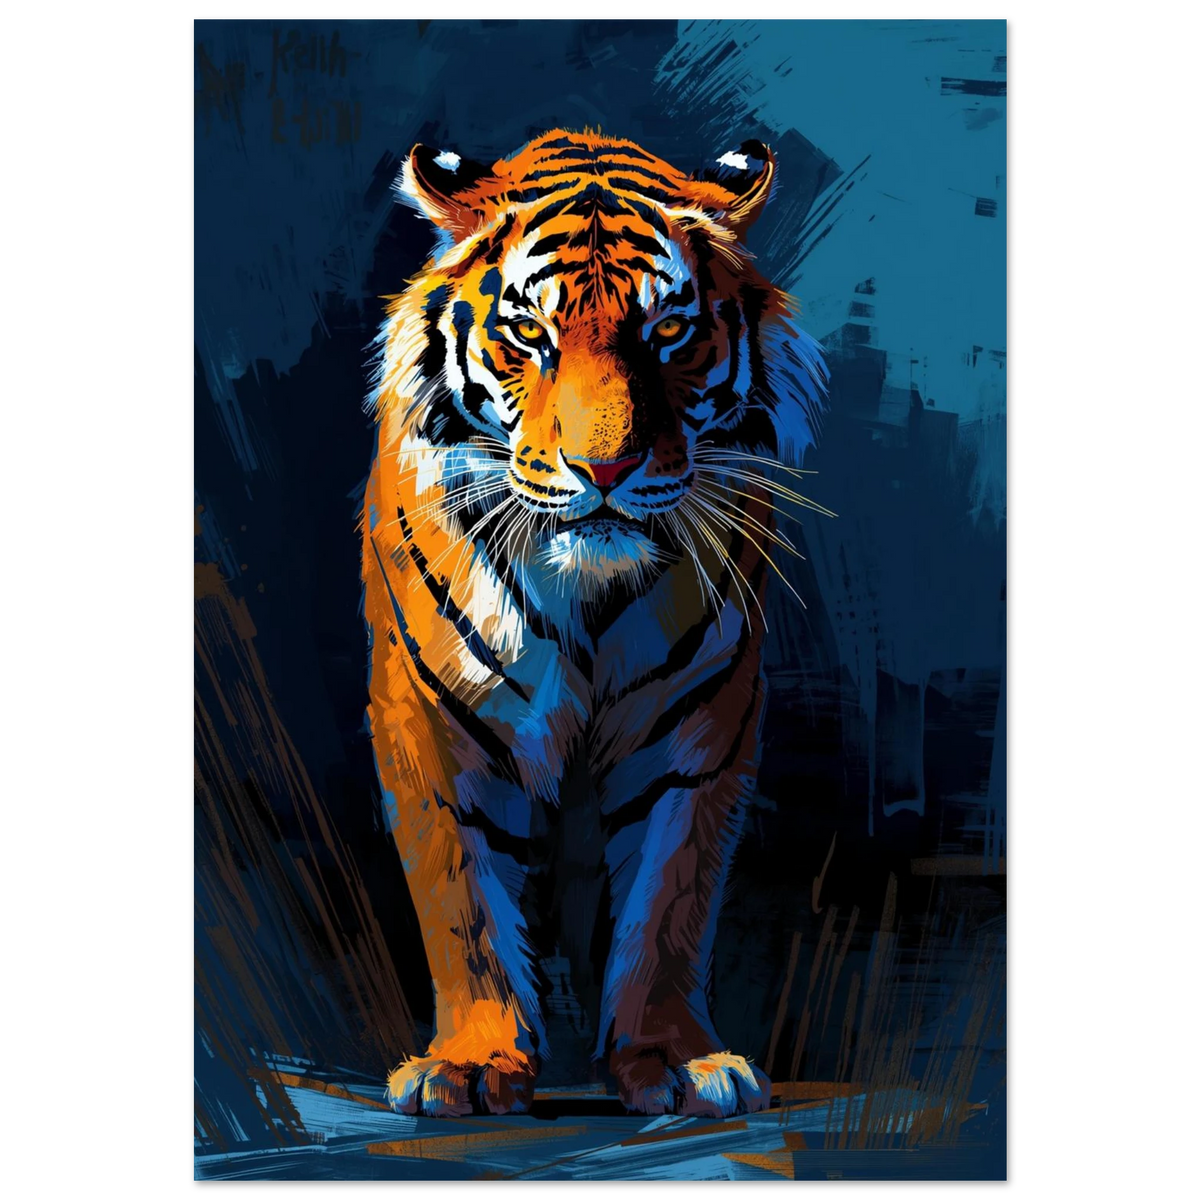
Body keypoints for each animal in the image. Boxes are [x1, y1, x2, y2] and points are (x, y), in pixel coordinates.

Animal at [361, 129, 828, 1120]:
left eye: (667, 333)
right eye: (528, 334)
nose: (604, 468)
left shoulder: (699, 725)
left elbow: (668, 901)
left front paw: (677, 1061)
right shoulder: (429, 715)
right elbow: (463, 905)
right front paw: (470, 1067)